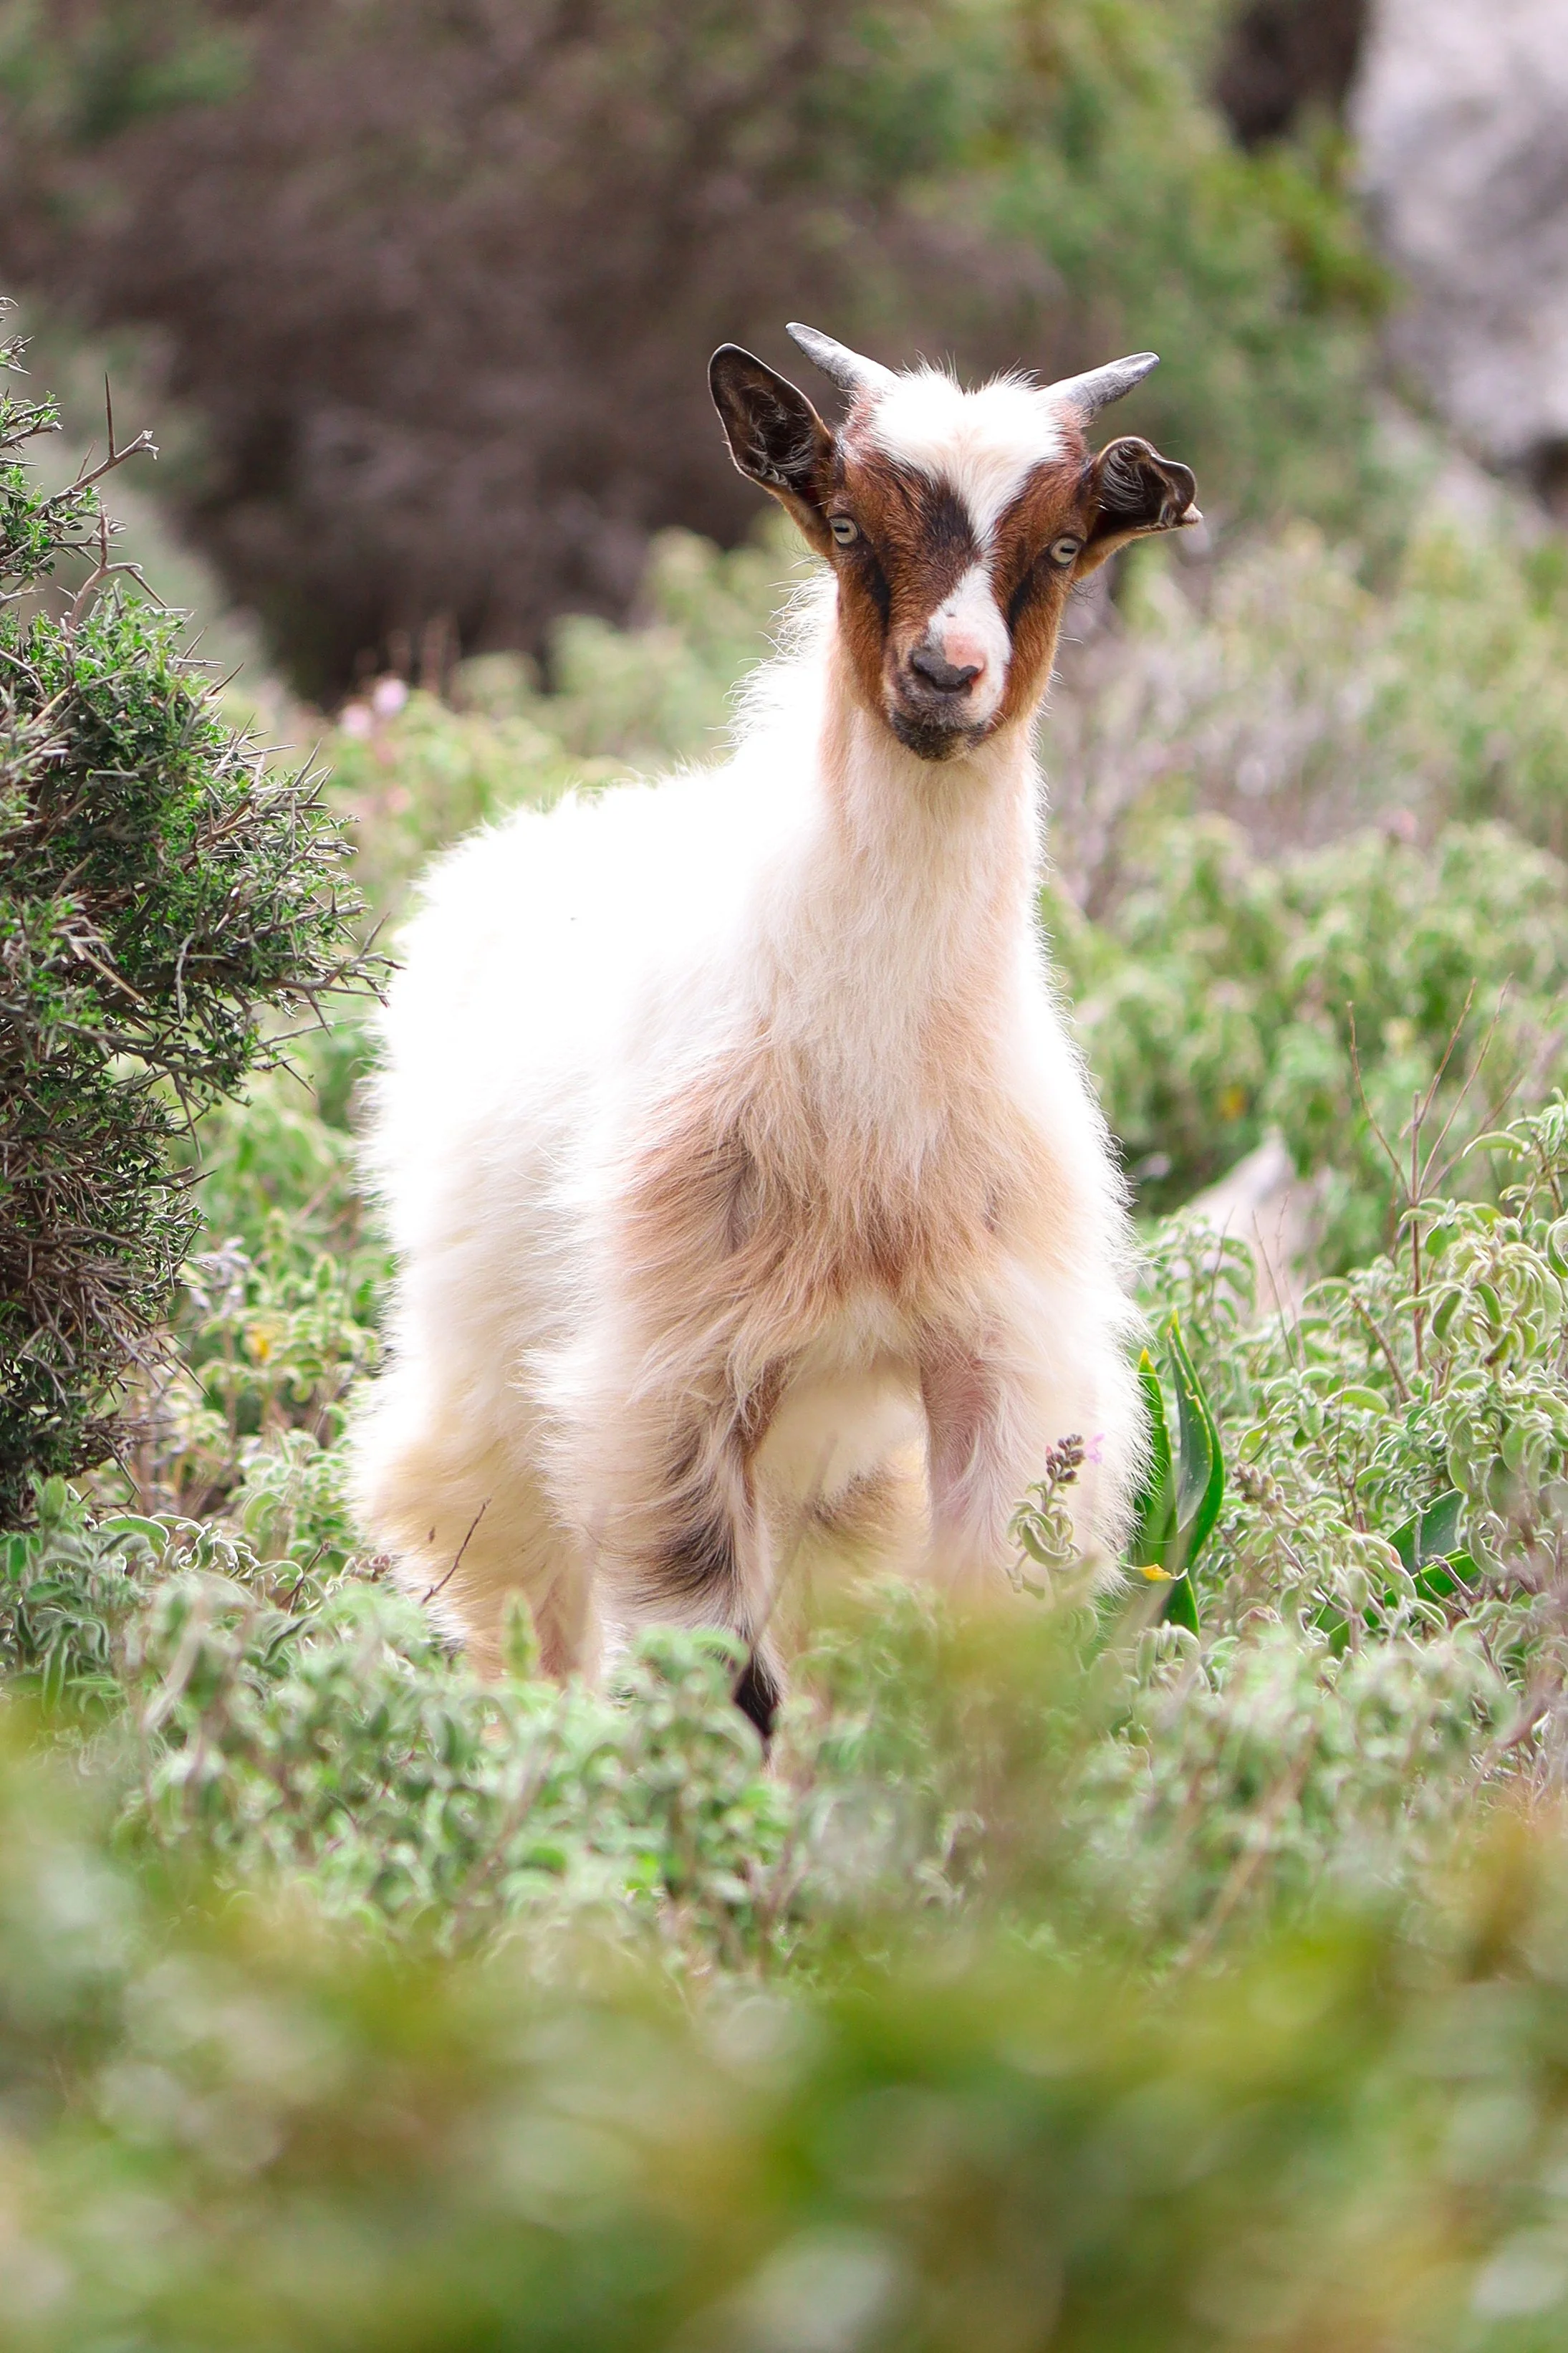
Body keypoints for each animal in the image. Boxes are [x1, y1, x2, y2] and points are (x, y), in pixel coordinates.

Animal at [352, 324, 1200, 1731]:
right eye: (847, 523)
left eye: (1065, 544)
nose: (943, 677)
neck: (872, 1073)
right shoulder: (672, 1382)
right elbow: (729, 1678)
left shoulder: (992, 1369)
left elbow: (956, 1649)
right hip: (496, 1388)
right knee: (528, 1605)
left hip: (837, 1469)